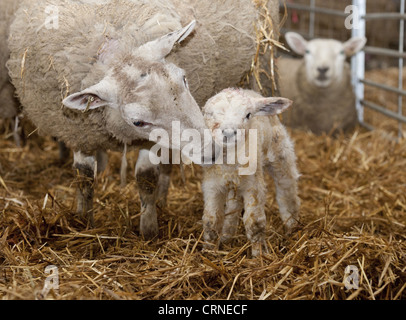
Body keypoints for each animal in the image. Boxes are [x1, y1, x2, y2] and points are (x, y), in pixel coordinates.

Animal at [201, 88, 300, 258]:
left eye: (248, 115)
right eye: (210, 114)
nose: (229, 133)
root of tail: (252, 92)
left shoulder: (253, 185)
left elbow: (254, 223)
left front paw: (258, 256)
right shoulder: (212, 185)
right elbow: (211, 221)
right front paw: (209, 252)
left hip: (280, 151)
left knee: (287, 188)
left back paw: (292, 225)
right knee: (233, 206)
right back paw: (227, 236)